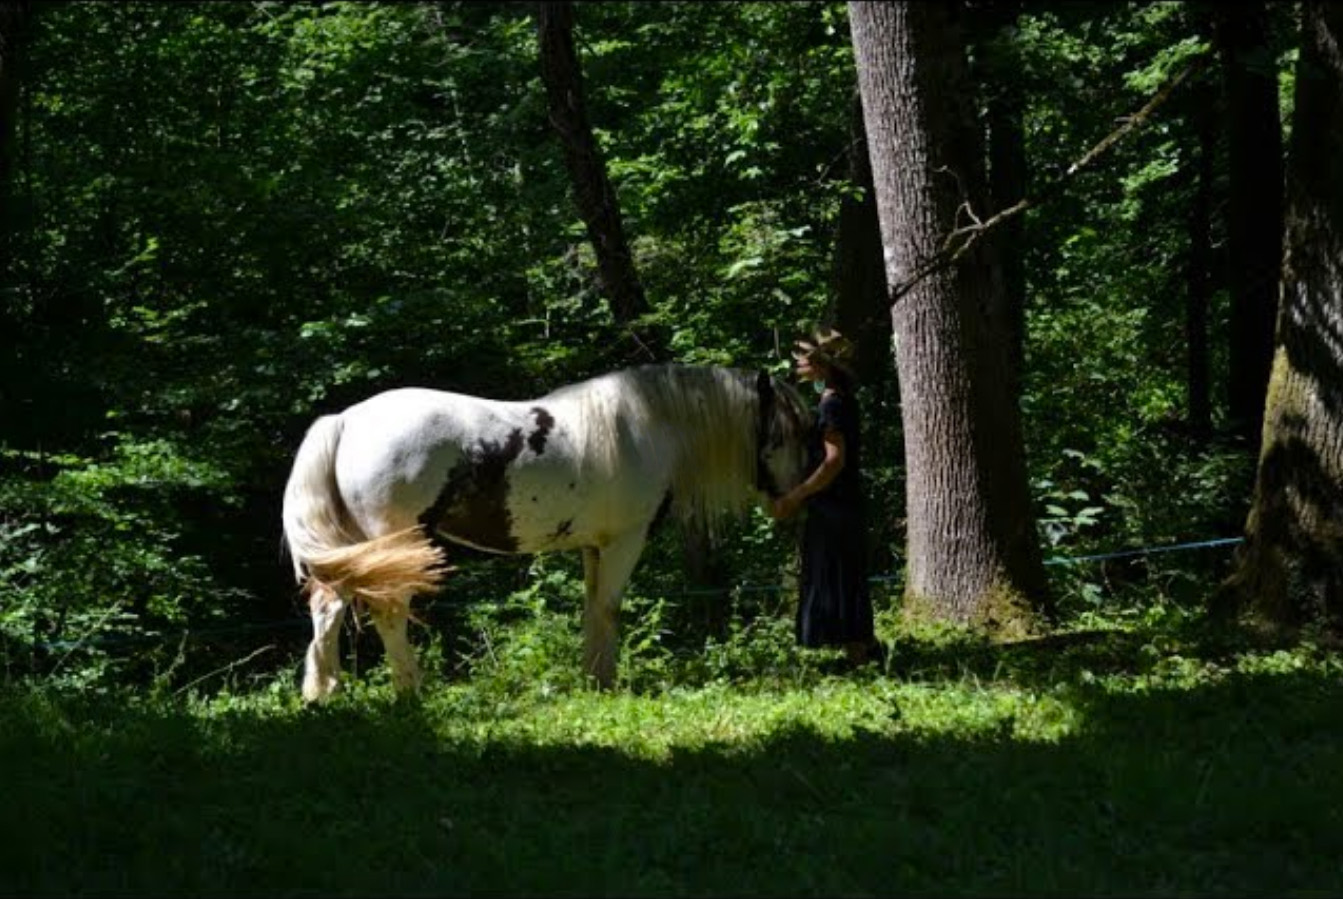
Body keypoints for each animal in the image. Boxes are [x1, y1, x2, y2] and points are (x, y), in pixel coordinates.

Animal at [281, 363, 812, 702]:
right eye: (782, 432)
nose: (796, 502)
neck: (644, 425)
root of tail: (346, 421)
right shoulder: (625, 541)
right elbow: (608, 608)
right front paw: (605, 683)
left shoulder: (594, 547)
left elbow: (592, 608)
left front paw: (593, 678)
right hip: (397, 550)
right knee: (389, 615)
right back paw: (411, 692)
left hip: (357, 552)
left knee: (328, 609)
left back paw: (324, 694)